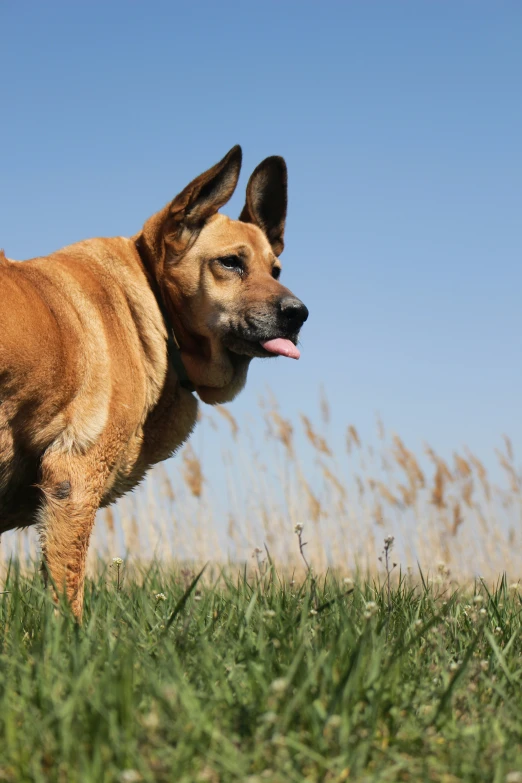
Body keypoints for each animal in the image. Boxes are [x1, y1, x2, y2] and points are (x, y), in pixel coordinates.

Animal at [0, 147, 306, 620]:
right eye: (230, 263)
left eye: (275, 269)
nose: (299, 314)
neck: (153, 306)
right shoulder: (73, 480)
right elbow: (67, 599)